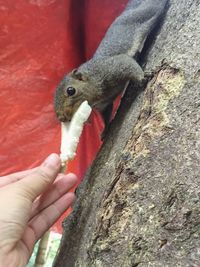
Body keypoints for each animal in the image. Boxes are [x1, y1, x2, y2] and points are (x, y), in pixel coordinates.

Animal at [54, 0, 168, 138]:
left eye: (71, 91)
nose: (61, 118)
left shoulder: (111, 68)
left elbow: (126, 63)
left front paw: (142, 78)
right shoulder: (104, 105)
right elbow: (106, 115)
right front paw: (105, 130)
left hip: (144, 13)